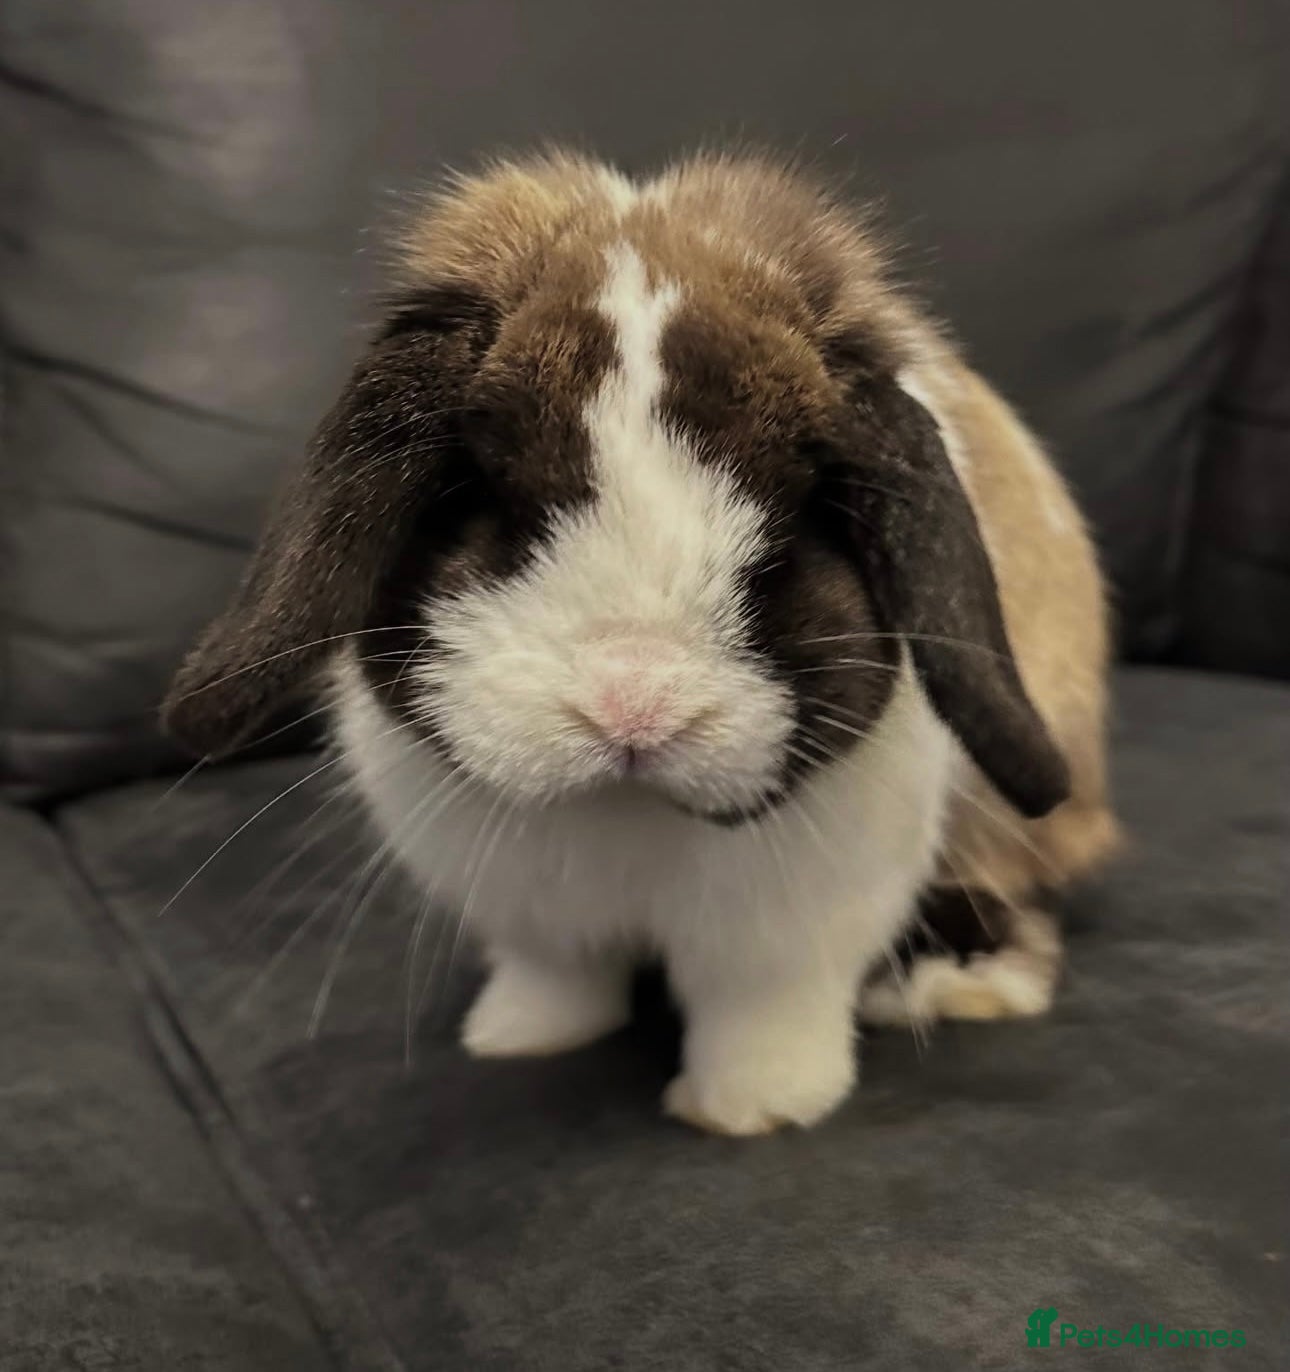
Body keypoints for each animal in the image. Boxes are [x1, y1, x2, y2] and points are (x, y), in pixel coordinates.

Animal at [164, 151, 1119, 1136]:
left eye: (800, 508)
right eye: (484, 490)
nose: (634, 705)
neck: (628, 816)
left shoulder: (795, 931)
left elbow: (764, 1012)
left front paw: (749, 1110)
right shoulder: (533, 916)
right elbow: (557, 975)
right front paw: (518, 1038)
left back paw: (952, 982)